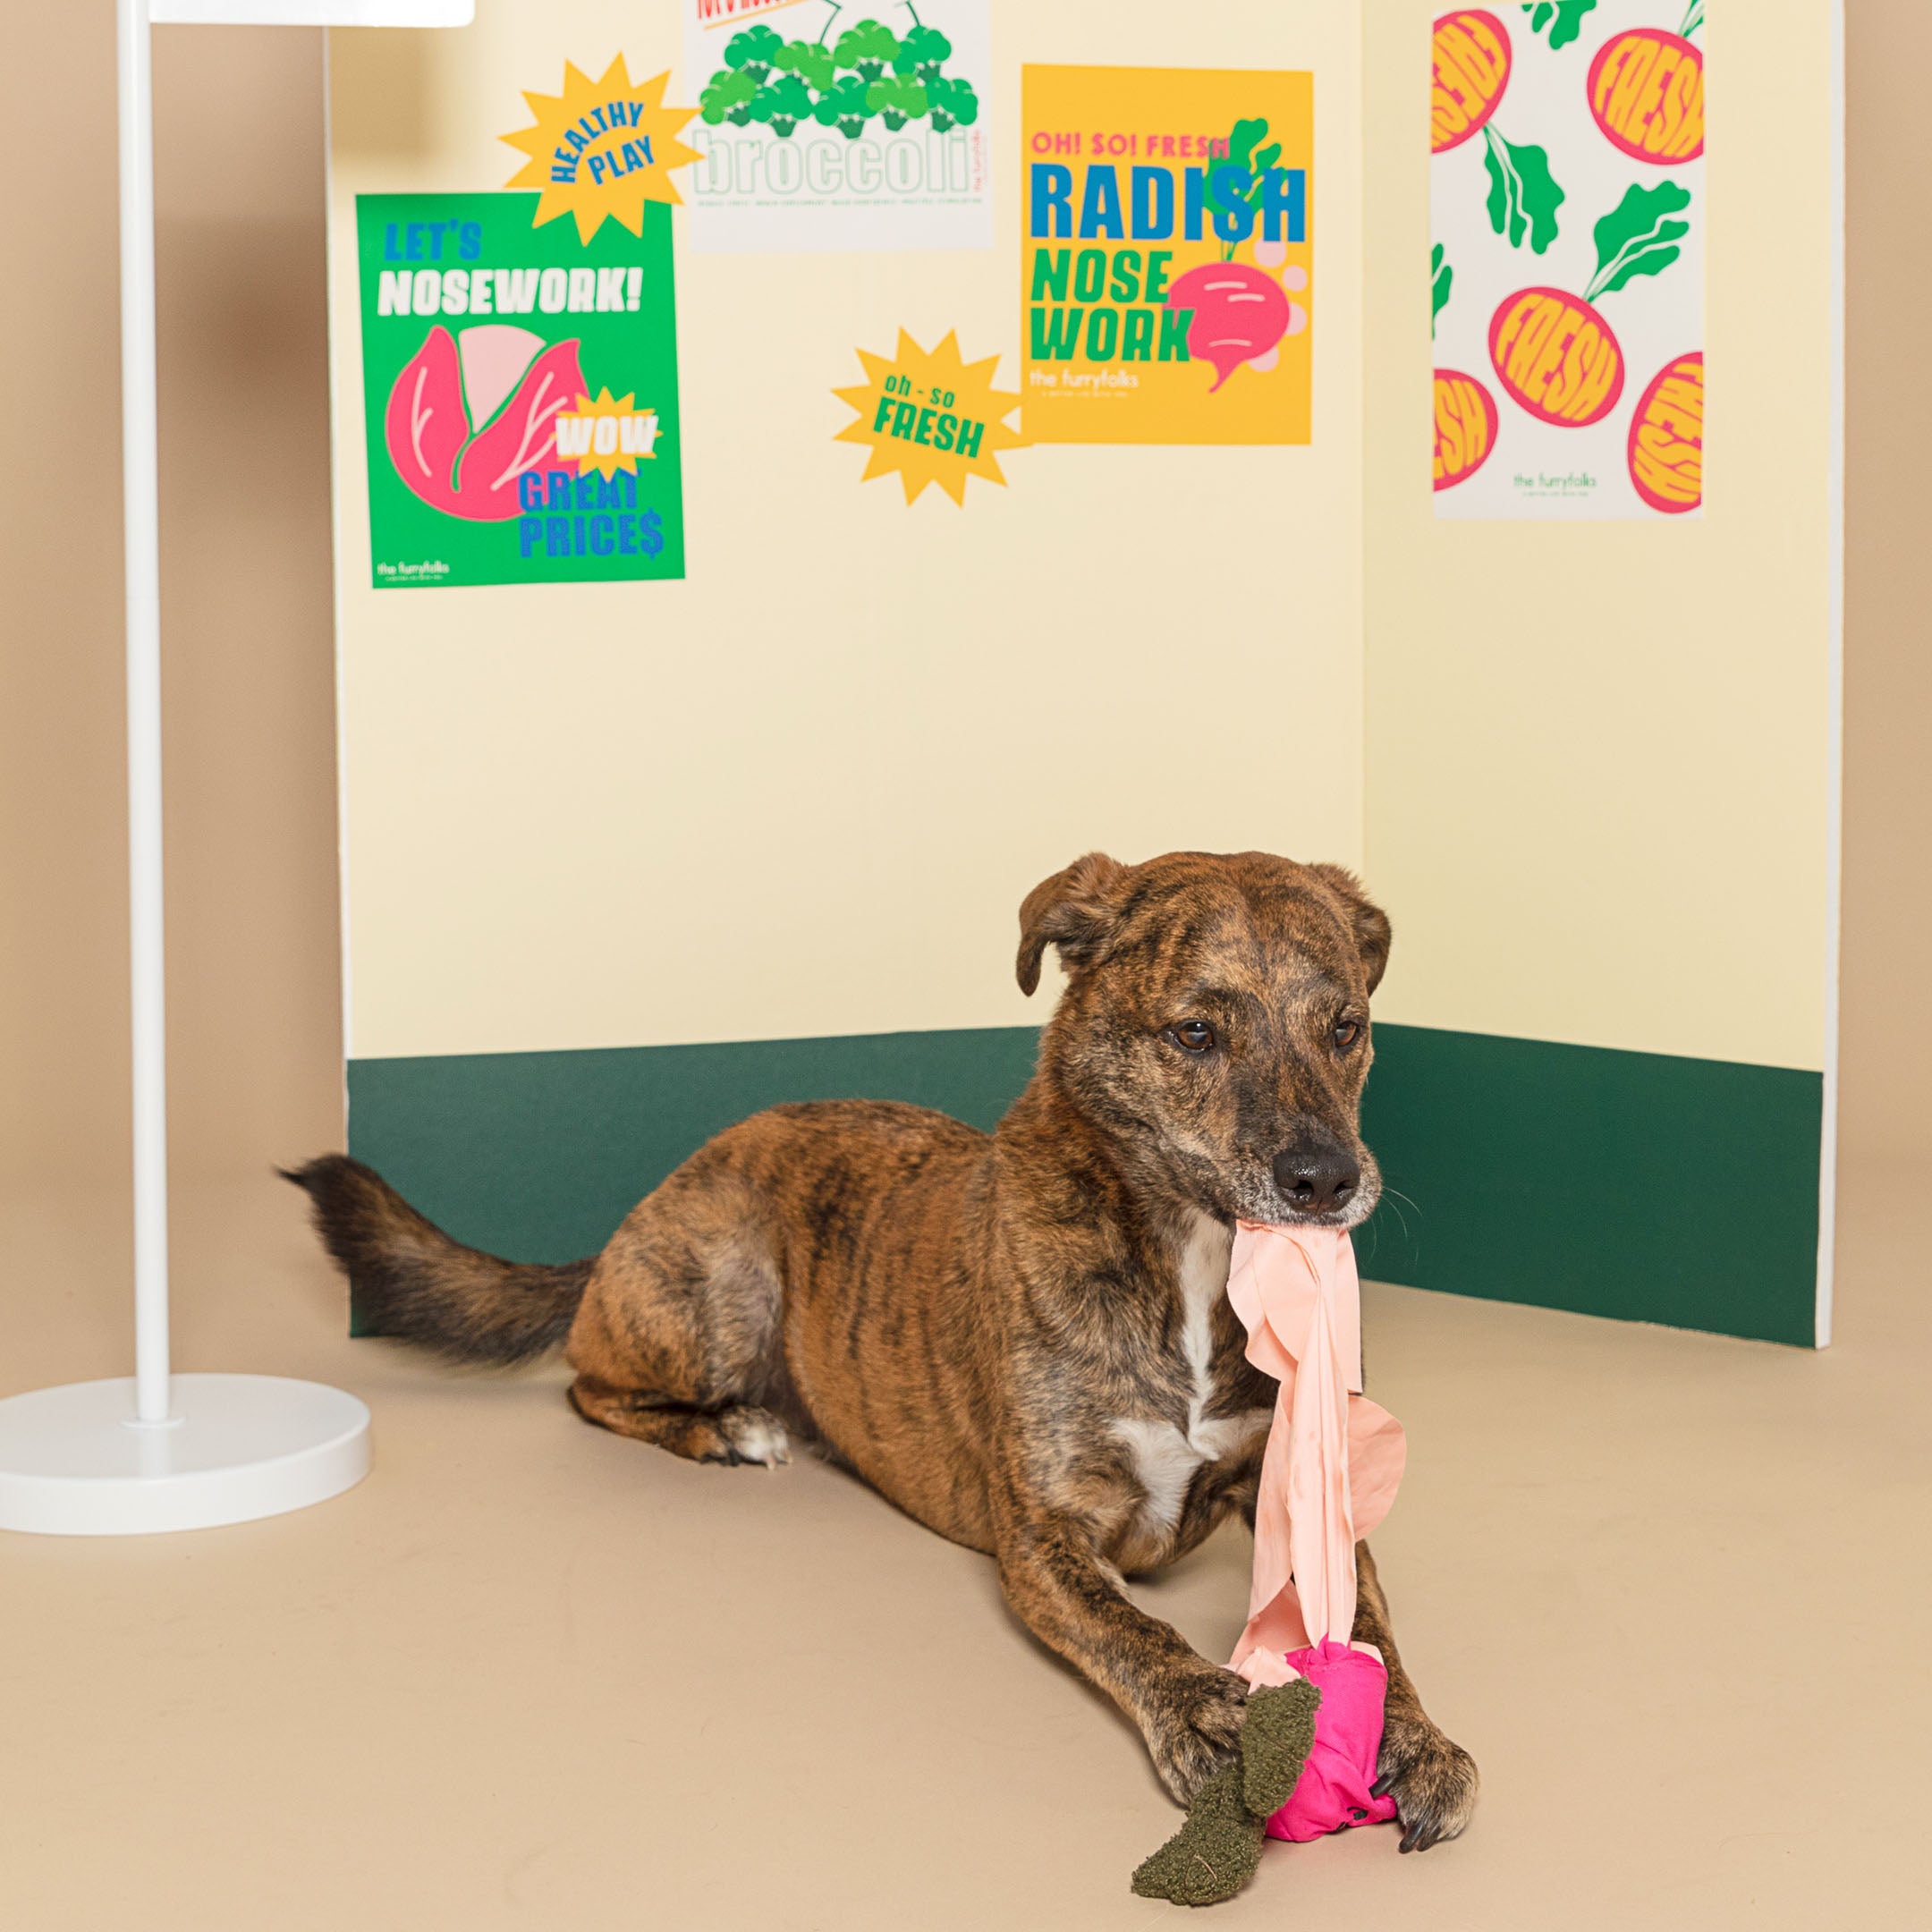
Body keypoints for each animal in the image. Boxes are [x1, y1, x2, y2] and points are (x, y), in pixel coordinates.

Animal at [293, 853, 1476, 1846]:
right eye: (1195, 1035)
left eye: (1347, 1028)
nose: (1327, 1180)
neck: (1183, 1253)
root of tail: (669, 1186)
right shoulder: (1041, 1539)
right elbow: (1130, 1630)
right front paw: (1206, 1715)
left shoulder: (1308, 1496)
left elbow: (1369, 1630)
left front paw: (1417, 1740)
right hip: (722, 1282)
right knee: (590, 1386)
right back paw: (735, 1430)